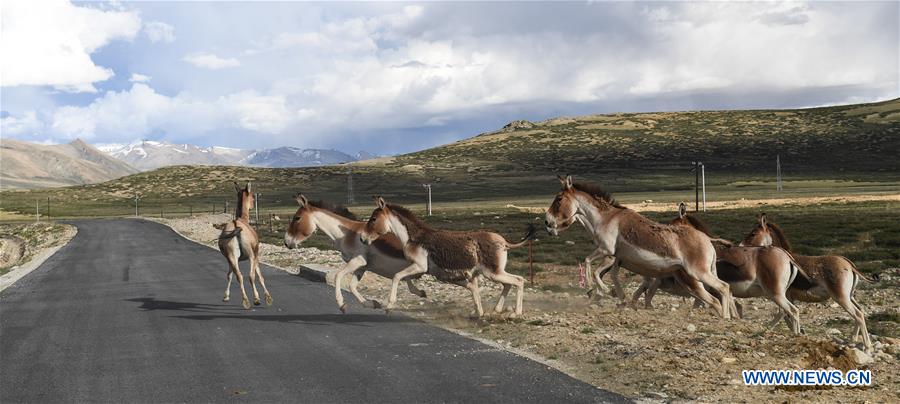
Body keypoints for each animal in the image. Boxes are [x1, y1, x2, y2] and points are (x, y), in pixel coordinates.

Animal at [214, 182, 270, 310]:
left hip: (232, 256)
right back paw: (256, 299)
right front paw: (267, 297)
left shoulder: (230, 259)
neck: (243, 220)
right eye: (253, 196)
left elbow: (229, 275)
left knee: (239, 276)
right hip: (250, 256)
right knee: (251, 276)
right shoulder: (255, 255)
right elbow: (260, 275)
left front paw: (226, 296)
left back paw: (245, 300)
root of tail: (236, 228)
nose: (252, 205)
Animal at [284, 195, 428, 312]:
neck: (346, 234)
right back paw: (420, 292)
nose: (286, 242)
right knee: (407, 280)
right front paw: (373, 304)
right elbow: (352, 286)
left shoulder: (358, 261)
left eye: (297, 218)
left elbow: (338, 276)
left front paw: (341, 304)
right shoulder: (362, 266)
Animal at [360, 197, 536, 318]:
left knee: (519, 280)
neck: (413, 237)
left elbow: (397, 276)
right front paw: (478, 312)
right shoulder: (434, 272)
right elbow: (473, 289)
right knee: (508, 284)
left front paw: (389, 306)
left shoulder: (420, 266)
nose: (362, 238)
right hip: (496, 272)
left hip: (492, 272)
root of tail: (504, 241)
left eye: (373, 219)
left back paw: (516, 313)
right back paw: (498, 309)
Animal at [544, 176, 736, 318]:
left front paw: (597, 290)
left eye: (559, 199)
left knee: (723, 289)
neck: (604, 218)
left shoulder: (607, 251)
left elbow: (589, 263)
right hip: (698, 275)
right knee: (720, 293)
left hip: (697, 273)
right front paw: (617, 296)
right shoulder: (617, 258)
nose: (547, 222)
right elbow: (612, 275)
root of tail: (707, 240)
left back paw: (725, 319)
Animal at [740, 215, 876, 350]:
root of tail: (849, 264)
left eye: (753, 233)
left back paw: (867, 346)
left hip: (841, 298)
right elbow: (787, 316)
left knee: (858, 314)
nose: (740, 247)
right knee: (860, 311)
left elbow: (785, 315)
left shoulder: (785, 295)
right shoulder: (789, 297)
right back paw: (853, 340)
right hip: (849, 296)